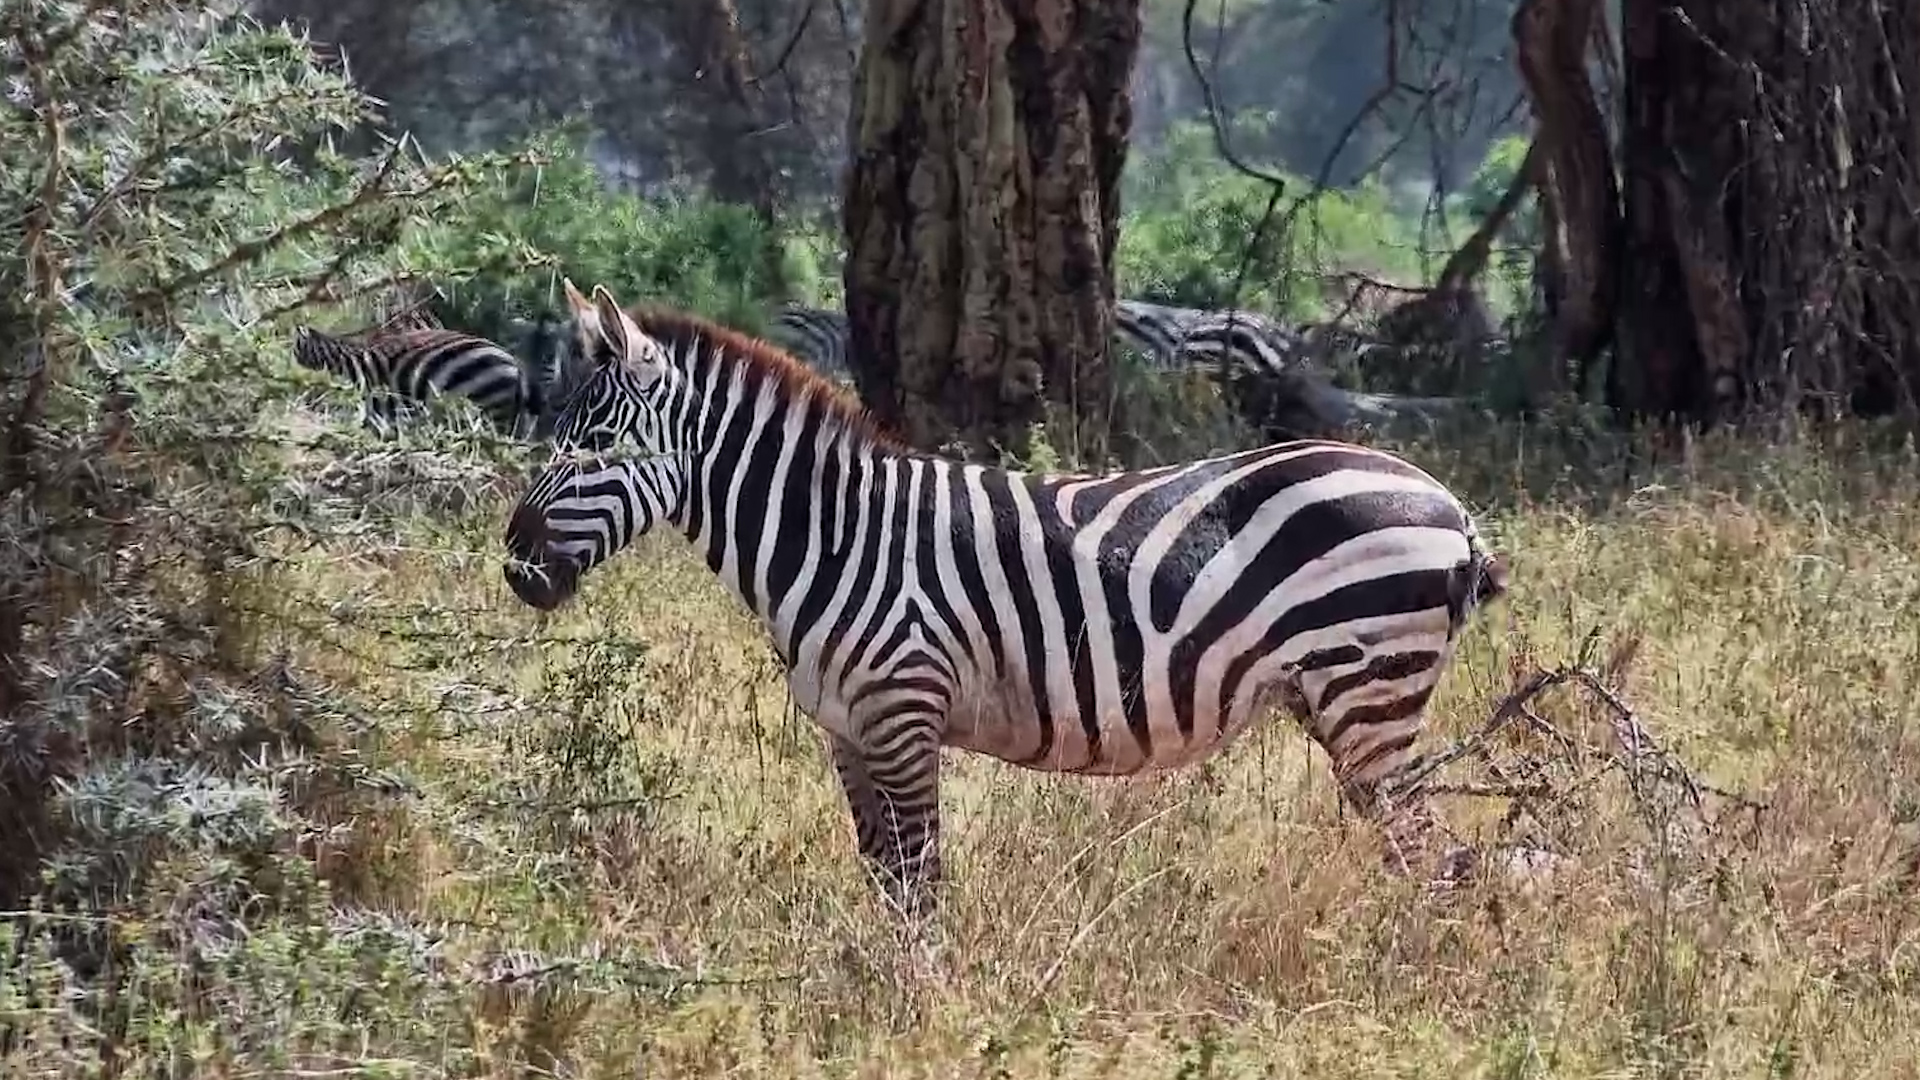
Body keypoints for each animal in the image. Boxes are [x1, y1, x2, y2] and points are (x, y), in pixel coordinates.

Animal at [502, 279, 1511, 920]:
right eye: (553, 432)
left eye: (597, 446)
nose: (515, 567)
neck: (830, 536)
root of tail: (1449, 506)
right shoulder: (849, 733)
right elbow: (883, 880)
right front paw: (885, 995)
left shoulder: (904, 713)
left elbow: (919, 883)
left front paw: (922, 1008)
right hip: (1345, 701)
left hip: (1370, 695)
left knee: (1436, 856)